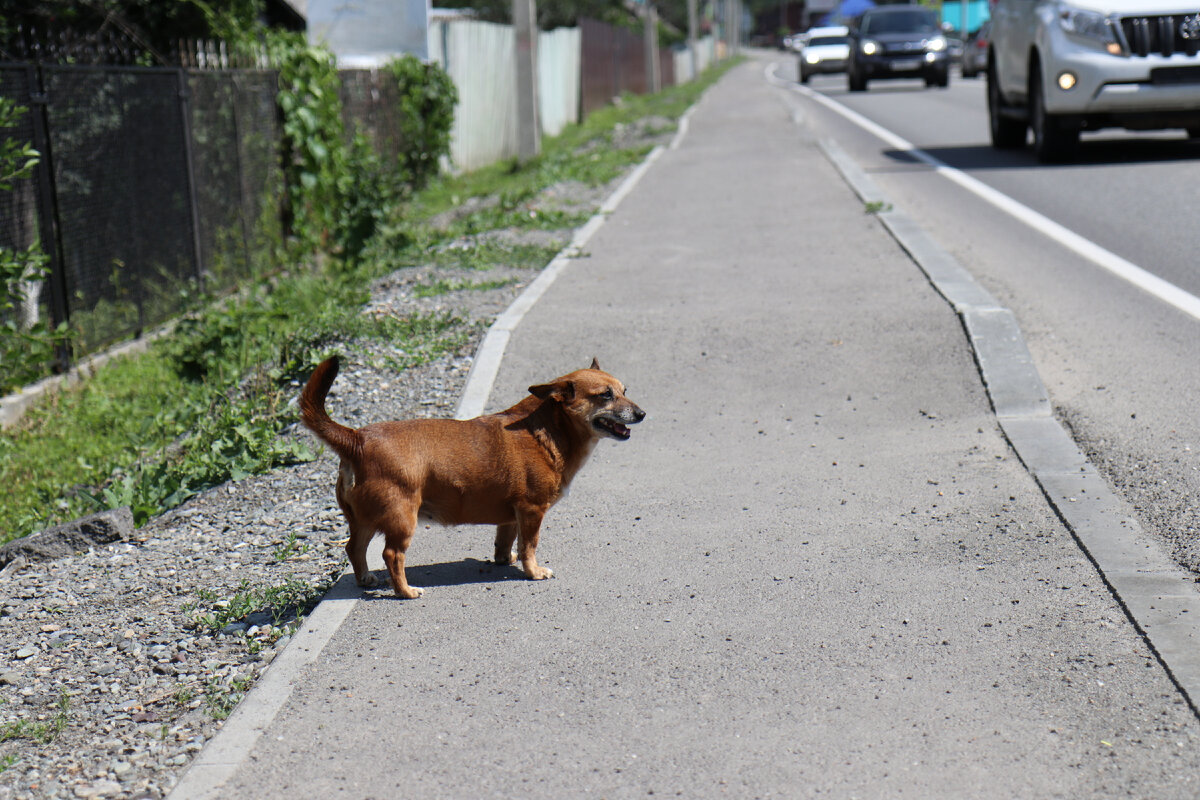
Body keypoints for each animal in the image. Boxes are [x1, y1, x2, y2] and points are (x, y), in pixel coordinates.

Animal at [297, 355, 648, 594]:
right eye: (605, 395)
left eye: (625, 390)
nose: (642, 413)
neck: (549, 430)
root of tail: (357, 439)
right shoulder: (532, 511)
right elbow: (530, 545)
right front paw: (533, 572)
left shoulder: (512, 515)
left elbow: (506, 542)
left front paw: (505, 561)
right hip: (401, 518)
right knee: (392, 554)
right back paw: (405, 591)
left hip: (365, 519)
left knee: (354, 548)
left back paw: (365, 578)